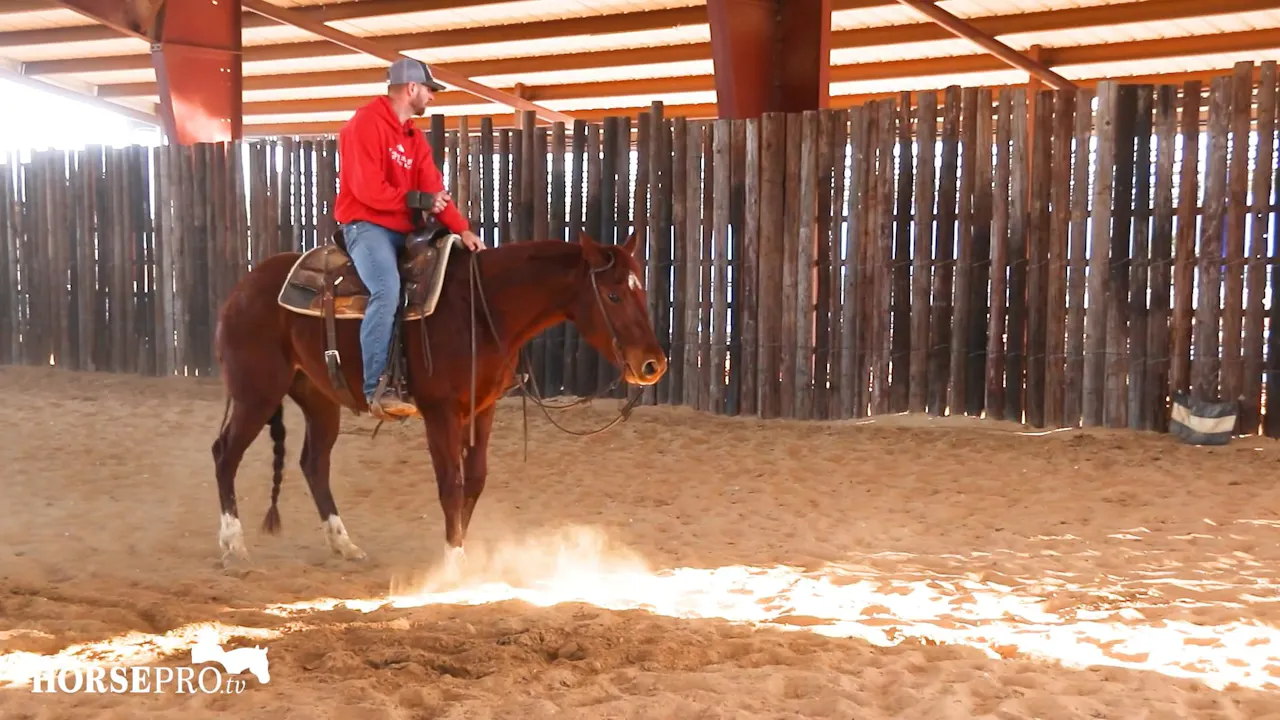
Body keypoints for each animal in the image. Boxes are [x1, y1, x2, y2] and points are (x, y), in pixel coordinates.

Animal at [209, 226, 667, 568]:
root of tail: (242, 288)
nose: (653, 365)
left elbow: (474, 480)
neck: (480, 309)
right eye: (613, 295)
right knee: (225, 453)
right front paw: (454, 561)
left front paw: (460, 548)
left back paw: (343, 543)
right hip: (257, 392)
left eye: (641, 290)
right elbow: (451, 482)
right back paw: (233, 544)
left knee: (313, 463)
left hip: (320, 399)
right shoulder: (440, 412)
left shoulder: (482, 409)